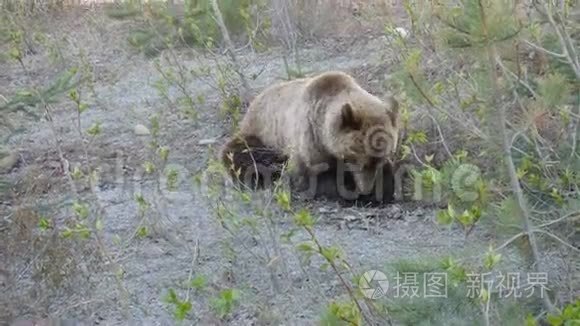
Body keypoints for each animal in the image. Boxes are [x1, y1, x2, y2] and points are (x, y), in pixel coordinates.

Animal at [218, 70, 398, 200]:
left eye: (380, 160)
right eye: (360, 162)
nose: (366, 189)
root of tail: (253, 102)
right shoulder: (309, 139)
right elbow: (315, 176)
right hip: (261, 133)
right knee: (241, 154)